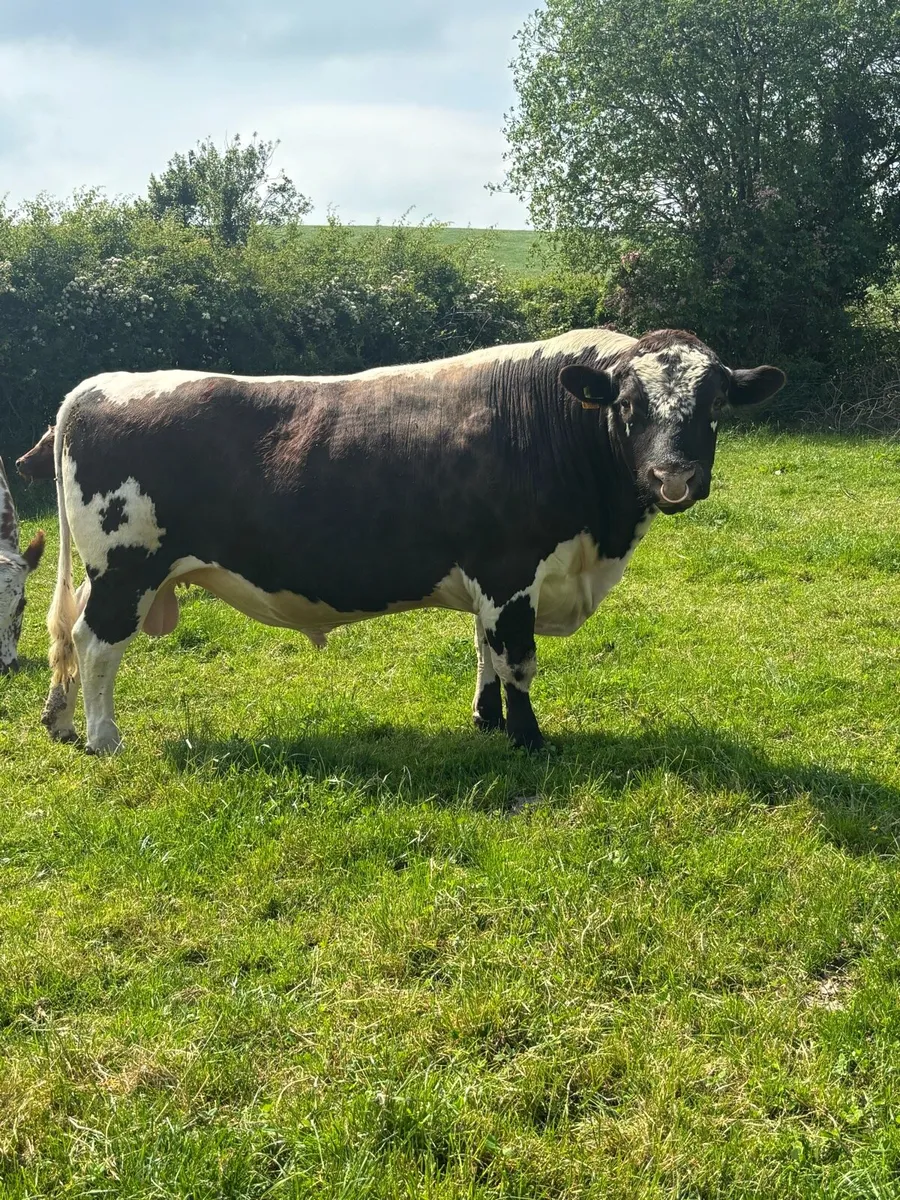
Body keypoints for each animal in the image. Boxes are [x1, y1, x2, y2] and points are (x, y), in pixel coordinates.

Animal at [40, 328, 785, 754]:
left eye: (715, 405)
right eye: (629, 404)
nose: (673, 476)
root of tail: (98, 385)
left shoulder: (493, 580)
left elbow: (484, 652)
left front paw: (487, 722)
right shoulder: (510, 569)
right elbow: (516, 660)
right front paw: (528, 739)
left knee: (71, 639)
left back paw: (61, 722)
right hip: (125, 570)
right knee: (96, 645)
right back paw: (102, 738)